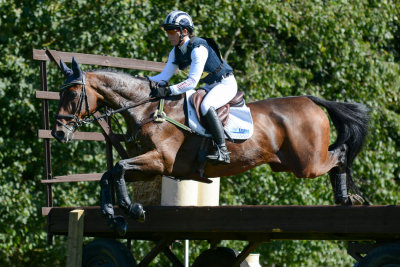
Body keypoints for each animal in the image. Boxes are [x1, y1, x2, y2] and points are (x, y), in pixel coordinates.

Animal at [52, 59, 368, 237]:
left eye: (73, 95)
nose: (58, 132)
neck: (148, 109)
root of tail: (311, 100)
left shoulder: (160, 160)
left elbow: (117, 168)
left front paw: (132, 209)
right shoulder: (148, 167)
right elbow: (110, 174)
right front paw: (113, 217)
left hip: (307, 163)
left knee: (339, 155)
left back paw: (347, 198)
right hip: (290, 163)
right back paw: (345, 199)